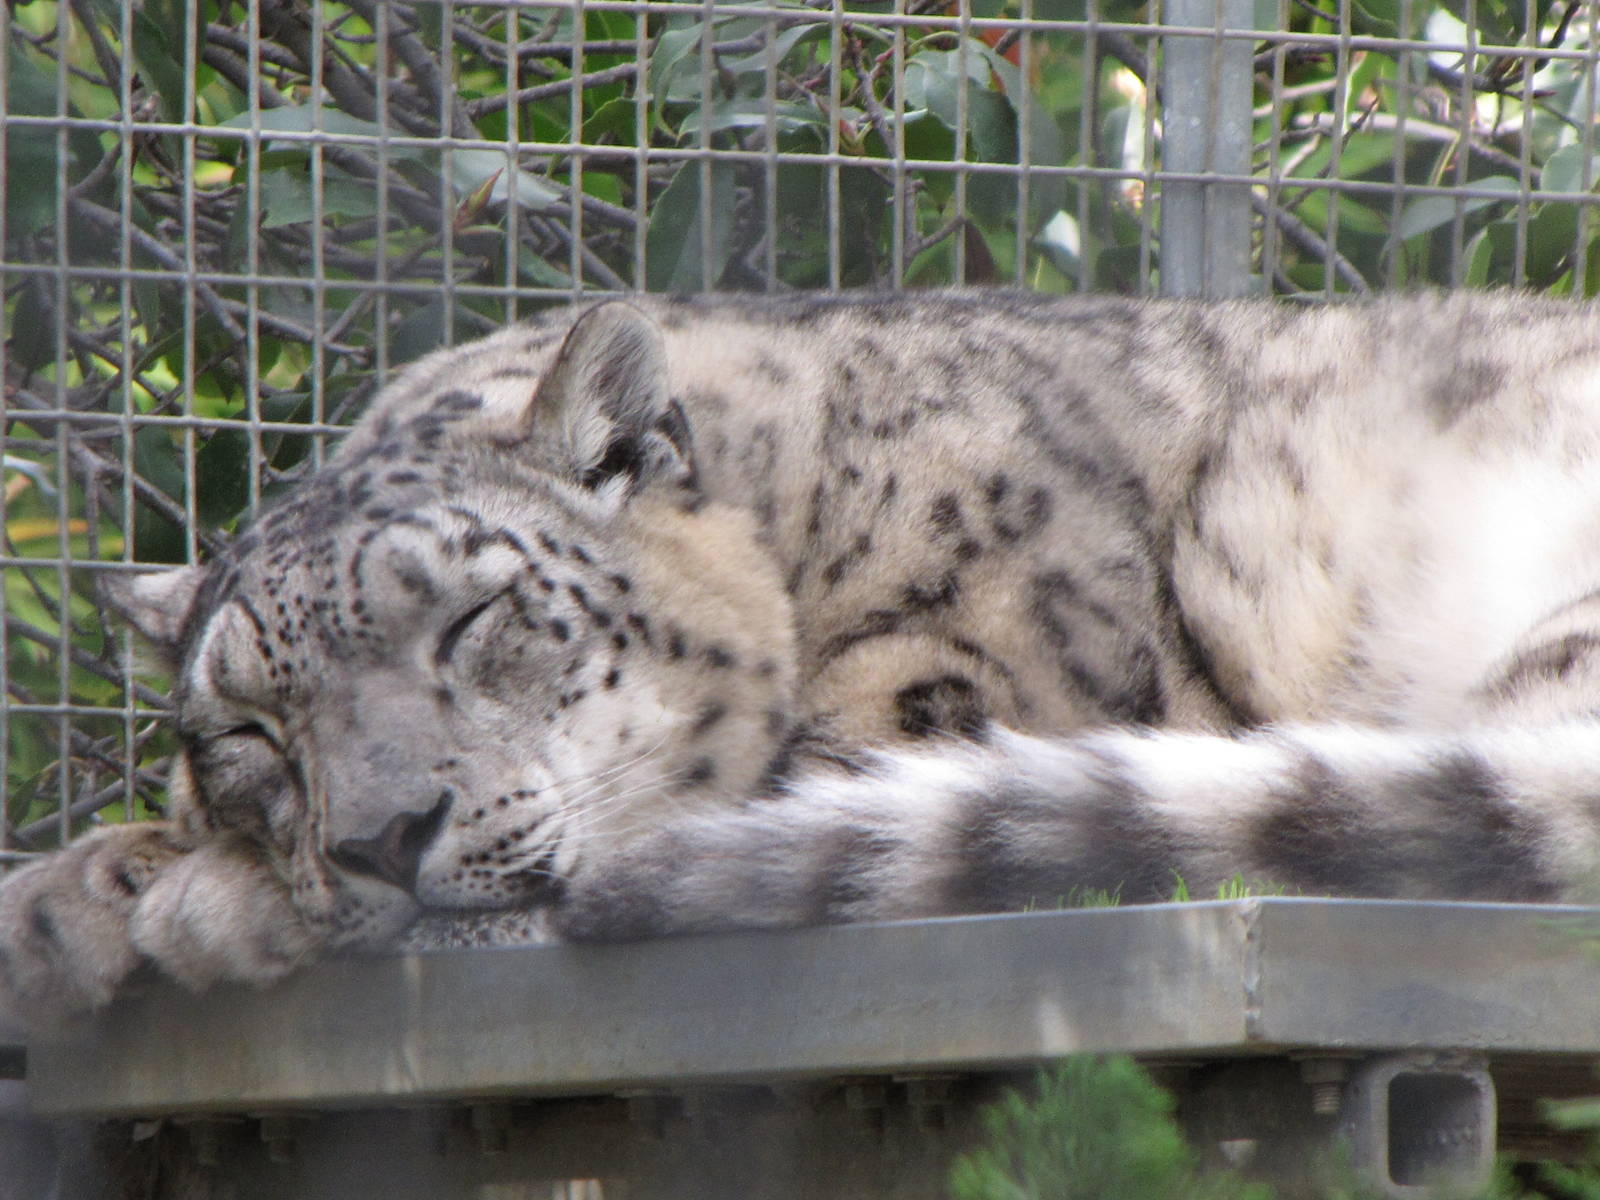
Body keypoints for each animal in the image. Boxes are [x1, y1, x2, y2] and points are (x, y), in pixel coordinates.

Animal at [8, 288, 1600, 1032]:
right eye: (246, 735)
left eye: (468, 618)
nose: (384, 839)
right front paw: (75, 896)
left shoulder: (943, 699)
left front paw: (193, 901)